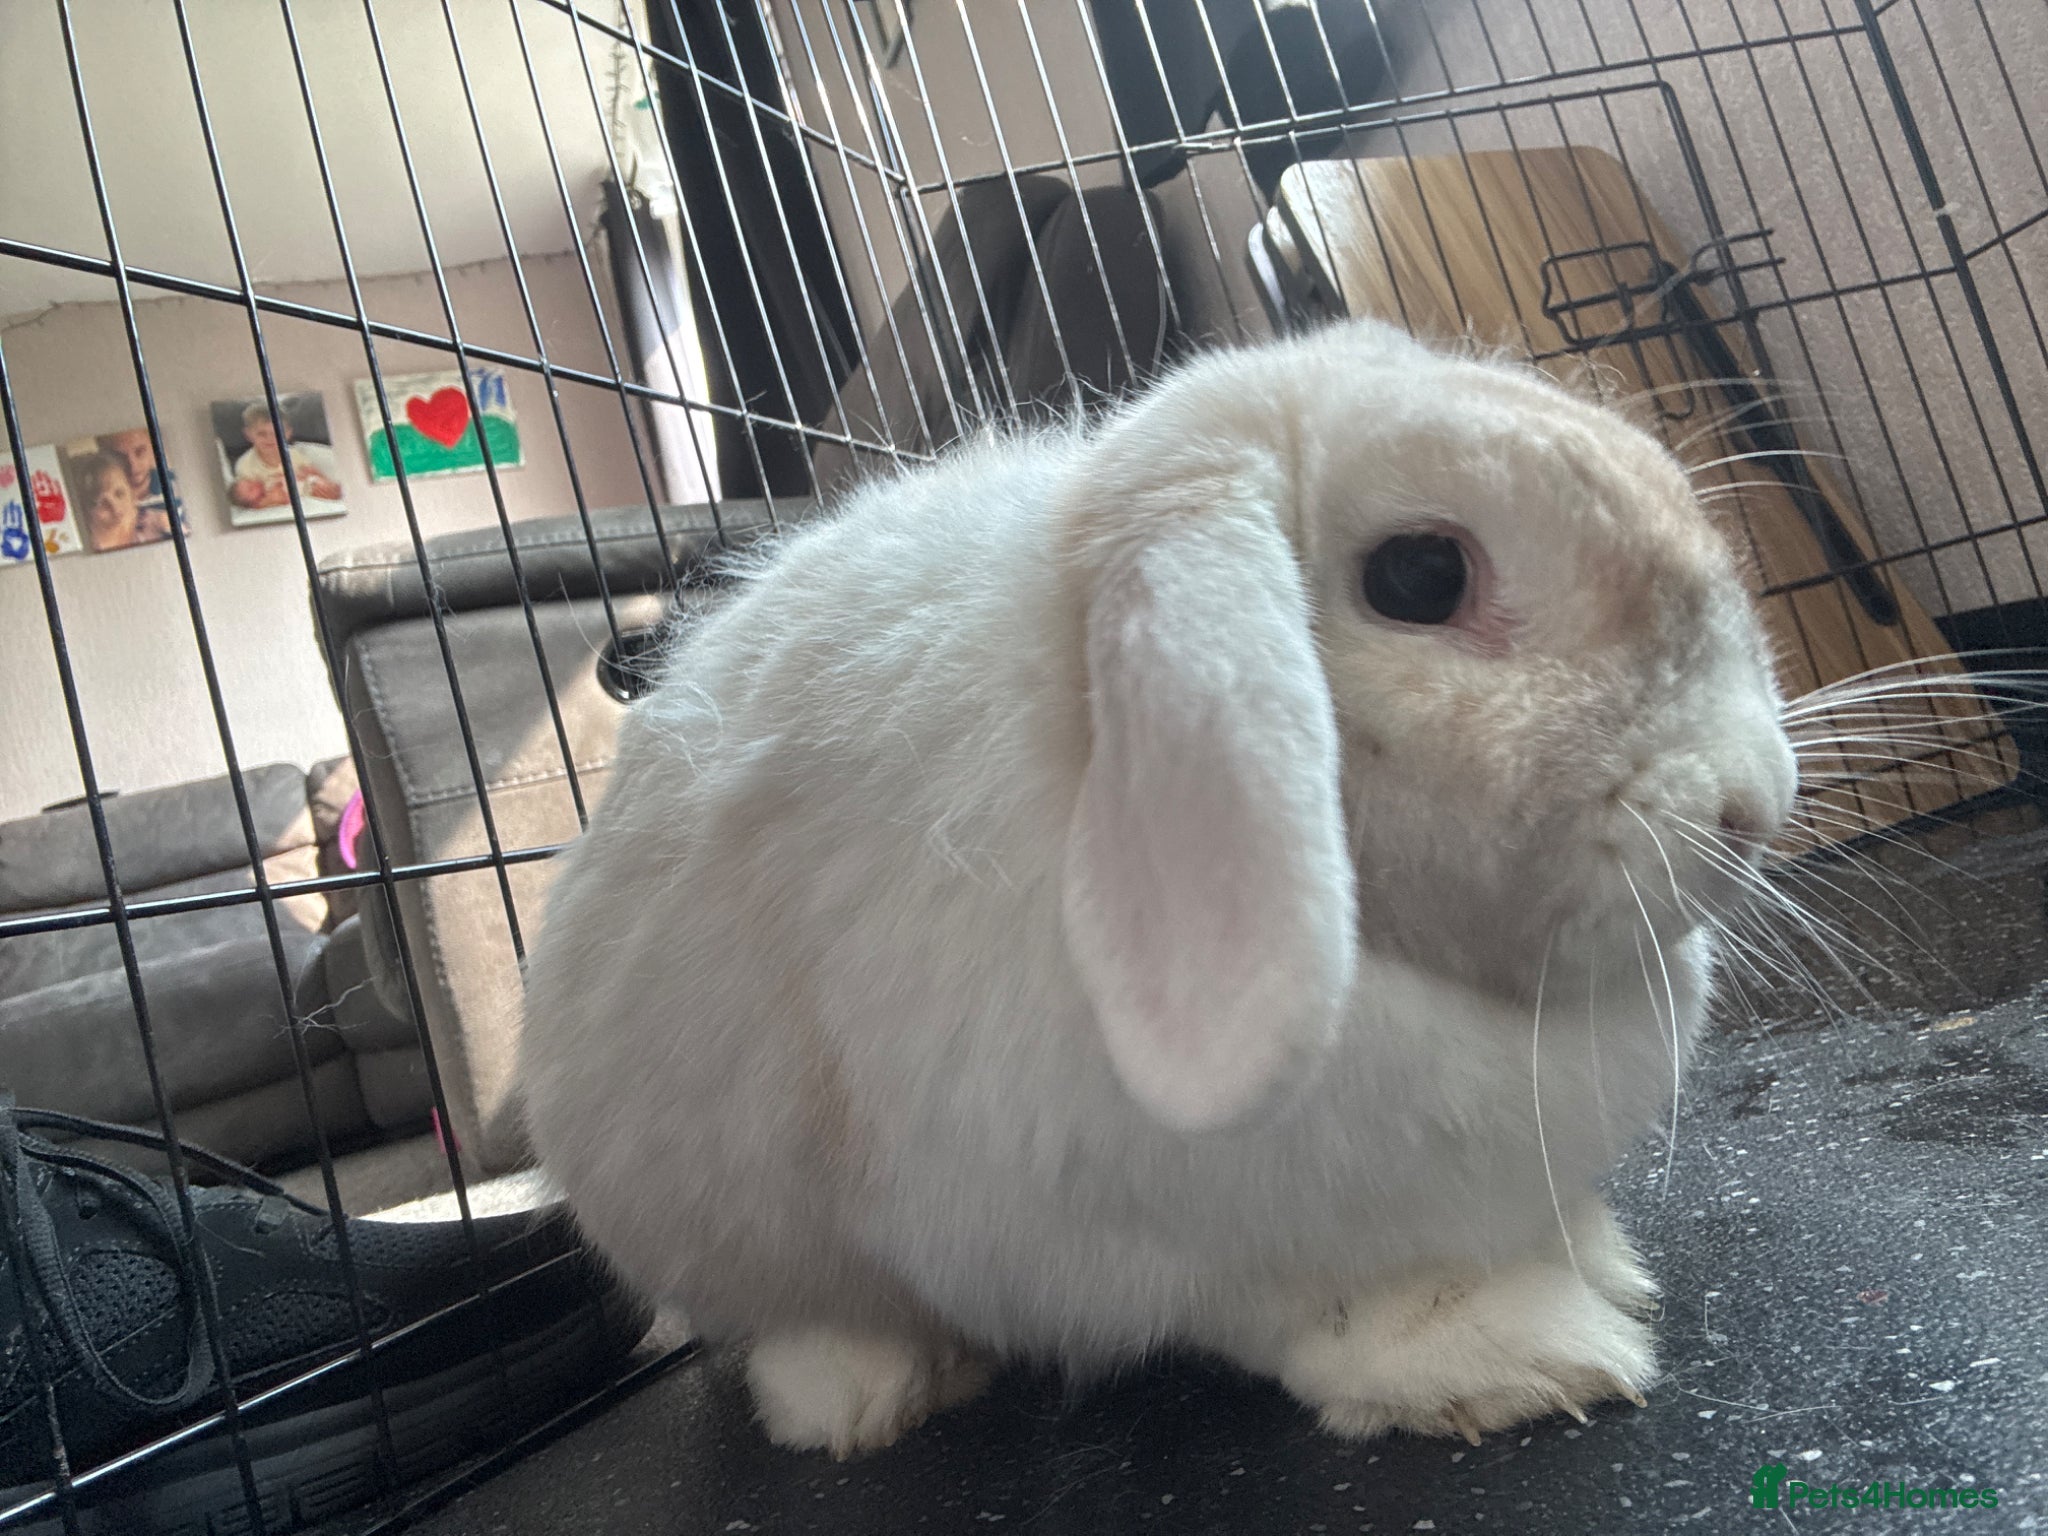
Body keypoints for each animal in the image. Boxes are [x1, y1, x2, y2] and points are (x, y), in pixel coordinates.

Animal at [516, 317, 1799, 1458]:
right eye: (1420, 574)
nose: (1752, 805)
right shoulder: (1116, 1235)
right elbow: (1323, 1310)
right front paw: (1515, 1356)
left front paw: (1599, 1259)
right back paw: (866, 1395)